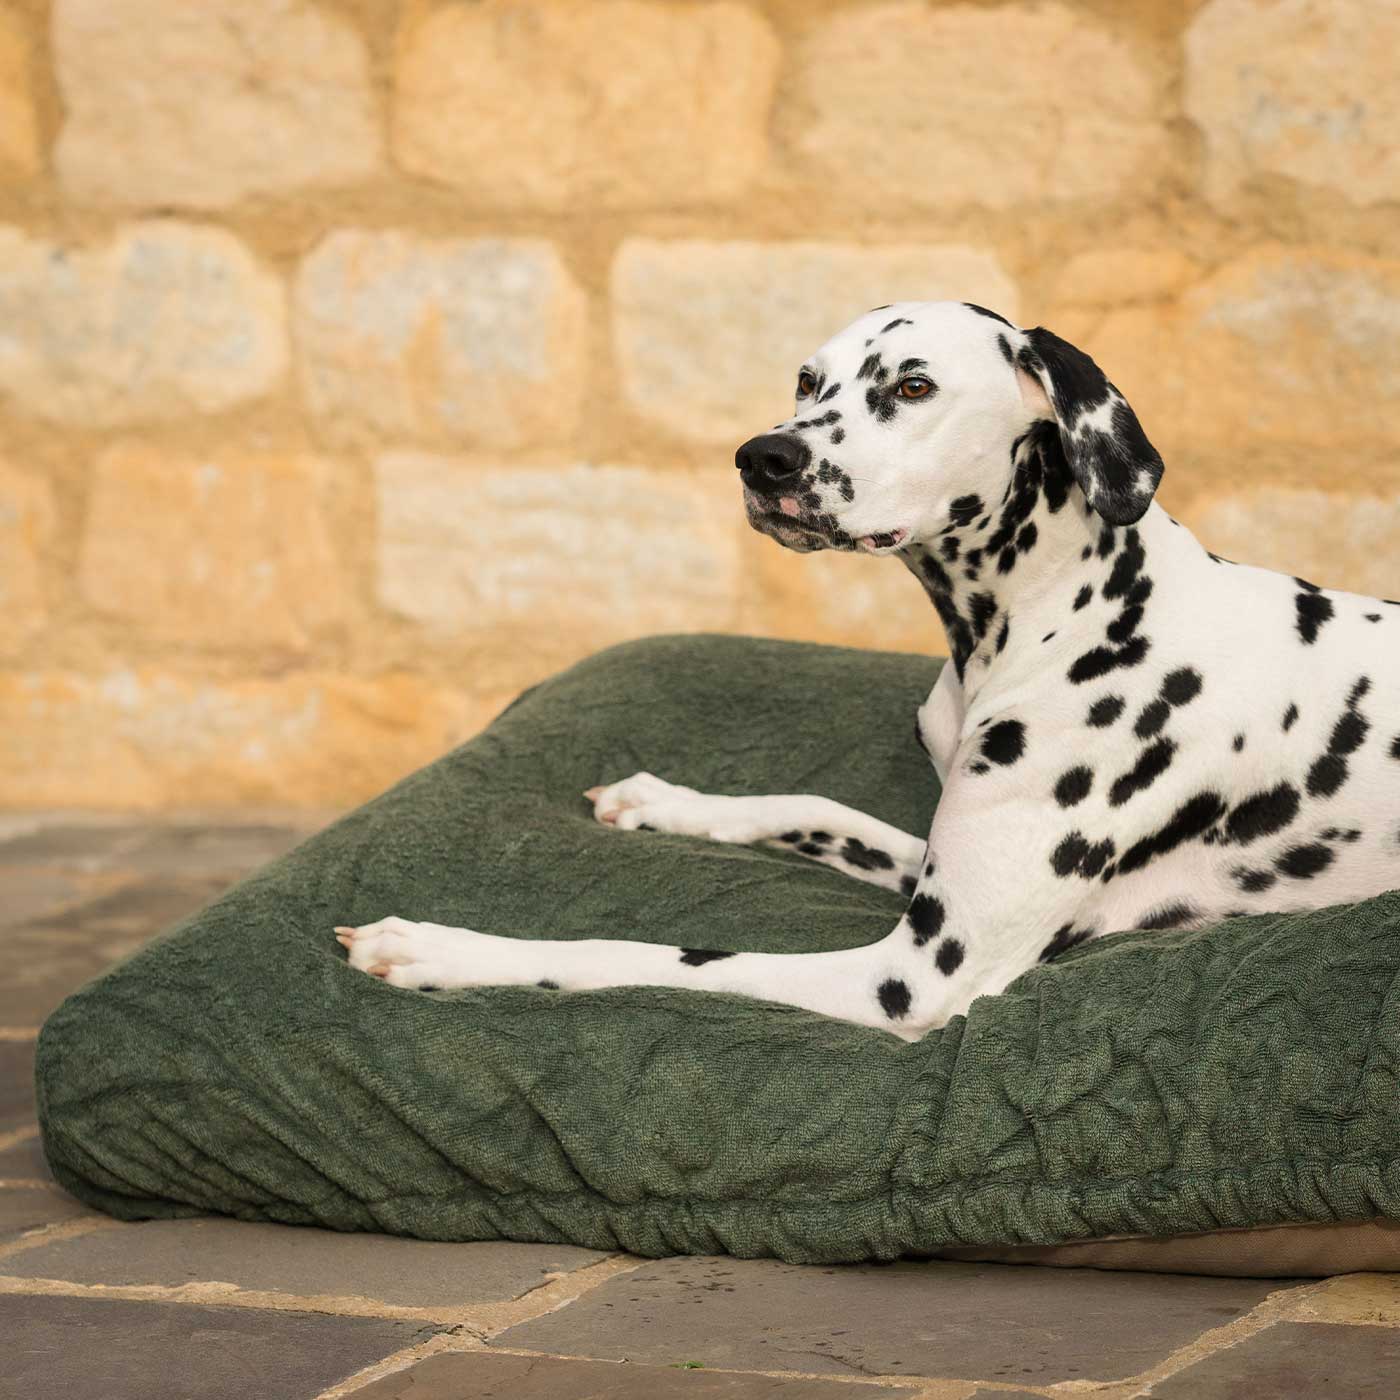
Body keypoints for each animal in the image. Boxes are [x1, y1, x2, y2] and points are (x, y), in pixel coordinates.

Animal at [338, 298, 1400, 1041]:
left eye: (914, 387)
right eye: (808, 380)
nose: (761, 458)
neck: (1063, 613)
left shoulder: (914, 976)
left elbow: (648, 955)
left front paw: (437, 947)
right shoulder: (927, 863)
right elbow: (817, 807)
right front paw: (665, 801)